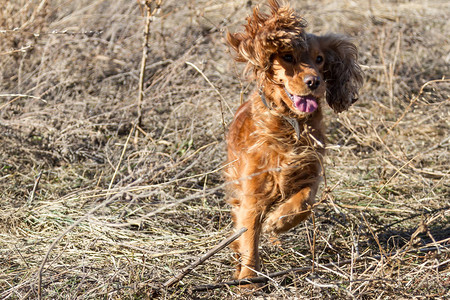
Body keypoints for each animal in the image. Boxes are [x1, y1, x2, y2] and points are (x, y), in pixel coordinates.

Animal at [225, 0, 362, 284]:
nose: (314, 82)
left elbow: (304, 204)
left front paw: (278, 222)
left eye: (320, 59)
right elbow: (249, 235)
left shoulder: (311, 173)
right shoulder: (254, 192)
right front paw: (249, 280)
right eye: (287, 56)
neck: (291, 125)